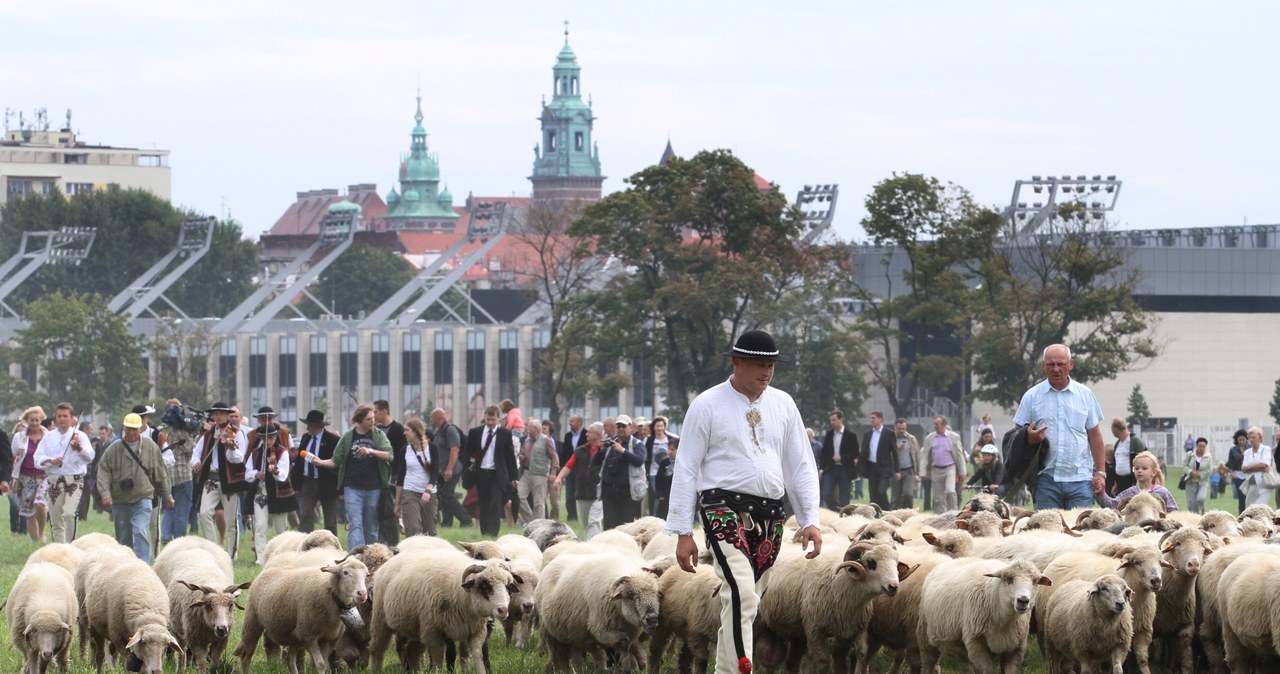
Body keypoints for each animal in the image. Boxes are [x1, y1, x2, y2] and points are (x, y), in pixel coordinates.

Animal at [235, 555, 368, 674]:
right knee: (246, 657)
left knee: (290, 660)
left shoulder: (328, 640)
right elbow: (320, 664)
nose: (362, 593)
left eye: (366, 575)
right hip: (252, 622)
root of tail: (267, 571)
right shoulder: (309, 637)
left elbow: (323, 663)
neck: (329, 593)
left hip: (295, 637)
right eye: (345, 572)